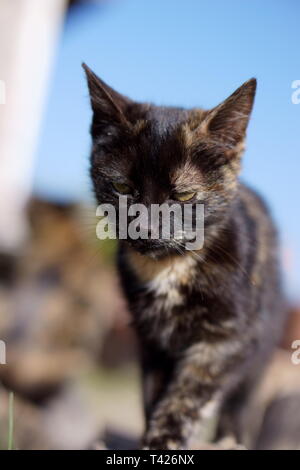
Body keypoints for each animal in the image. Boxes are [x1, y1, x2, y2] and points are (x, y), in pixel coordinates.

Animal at [84, 64, 286, 450]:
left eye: (184, 196)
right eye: (122, 188)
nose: (145, 229)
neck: (169, 269)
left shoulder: (226, 338)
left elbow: (186, 397)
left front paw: (164, 441)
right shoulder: (153, 342)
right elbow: (153, 397)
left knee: (239, 406)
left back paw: (230, 440)